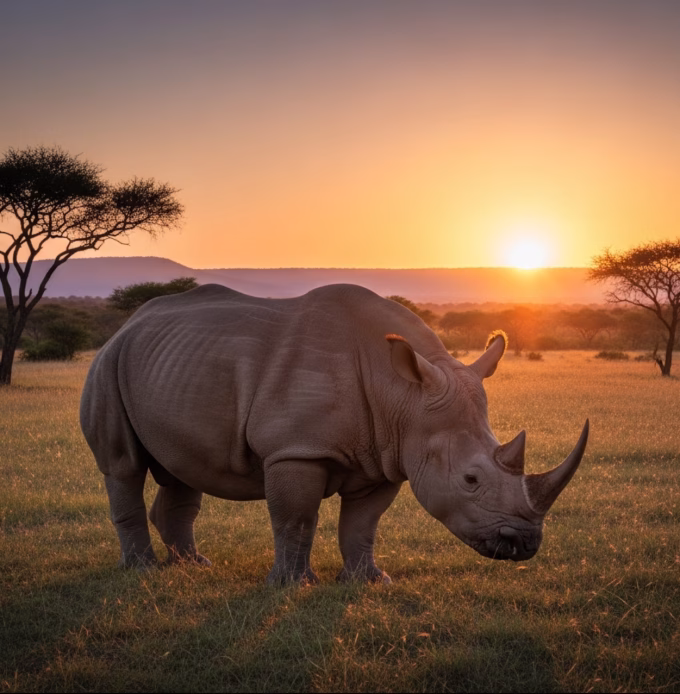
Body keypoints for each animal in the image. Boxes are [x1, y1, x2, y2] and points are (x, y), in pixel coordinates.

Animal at [80, 283, 588, 584]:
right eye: (470, 480)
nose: (524, 545)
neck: (404, 395)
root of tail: (127, 324)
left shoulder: (387, 455)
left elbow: (362, 525)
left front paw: (369, 582)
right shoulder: (295, 449)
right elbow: (296, 519)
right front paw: (292, 586)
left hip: (173, 367)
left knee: (182, 468)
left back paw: (192, 567)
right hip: (107, 363)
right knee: (123, 466)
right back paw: (142, 571)